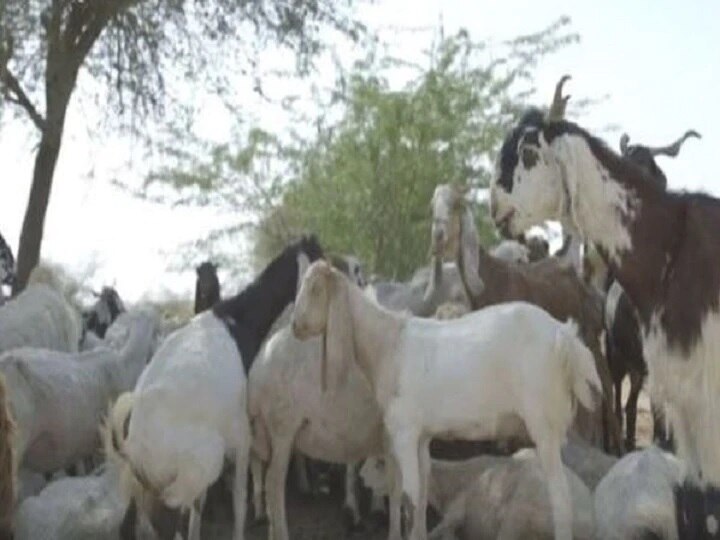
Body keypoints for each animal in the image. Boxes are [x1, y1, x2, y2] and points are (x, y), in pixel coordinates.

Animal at [104, 236, 324, 540]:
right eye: (320, 258)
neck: (235, 319)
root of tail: (136, 445)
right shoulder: (241, 433)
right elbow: (239, 500)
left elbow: (202, 505)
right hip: (190, 472)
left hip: (150, 484)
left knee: (132, 523)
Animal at [292, 260, 600, 540]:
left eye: (315, 289)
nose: (295, 326)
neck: (388, 345)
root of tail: (566, 338)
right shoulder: (422, 436)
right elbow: (419, 497)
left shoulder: (404, 432)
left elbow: (408, 499)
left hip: (544, 425)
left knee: (561, 501)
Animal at [430, 182, 620, 456]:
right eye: (432, 206)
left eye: (456, 205)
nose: (438, 236)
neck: (492, 279)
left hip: (590, 337)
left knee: (605, 383)